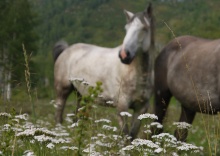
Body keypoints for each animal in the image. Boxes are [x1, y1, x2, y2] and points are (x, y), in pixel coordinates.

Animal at [52, 3, 155, 140]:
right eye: (126, 29)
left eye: (144, 28)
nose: (124, 55)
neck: (137, 74)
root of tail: (66, 49)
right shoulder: (122, 107)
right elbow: (125, 136)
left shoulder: (141, 109)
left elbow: (132, 135)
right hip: (62, 91)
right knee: (58, 116)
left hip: (81, 95)